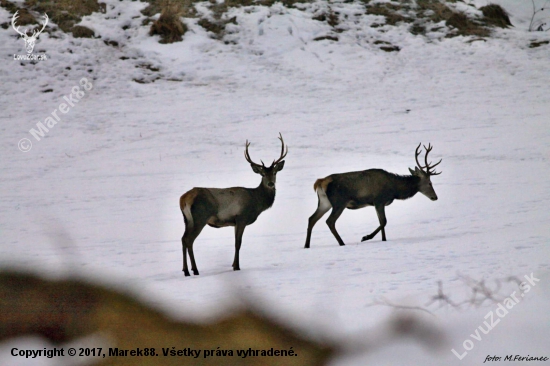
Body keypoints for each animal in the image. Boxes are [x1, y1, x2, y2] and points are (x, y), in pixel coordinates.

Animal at [180, 134, 288, 274]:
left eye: (274, 173)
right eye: (263, 174)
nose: (271, 183)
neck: (256, 201)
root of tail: (184, 199)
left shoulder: (235, 222)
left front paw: (232, 264)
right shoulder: (242, 217)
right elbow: (238, 243)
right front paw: (237, 266)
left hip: (187, 219)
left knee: (183, 239)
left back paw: (186, 270)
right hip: (200, 217)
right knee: (189, 240)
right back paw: (194, 270)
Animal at [306, 143, 444, 249]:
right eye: (429, 182)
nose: (435, 197)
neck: (394, 189)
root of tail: (320, 182)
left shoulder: (377, 204)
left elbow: (381, 222)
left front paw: (384, 239)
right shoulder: (379, 200)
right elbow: (384, 221)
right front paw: (366, 237)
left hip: (325, 202)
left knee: (312, 218)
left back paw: (306, 245)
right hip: (339, 202)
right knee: (329, 221)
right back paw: (342, 243)